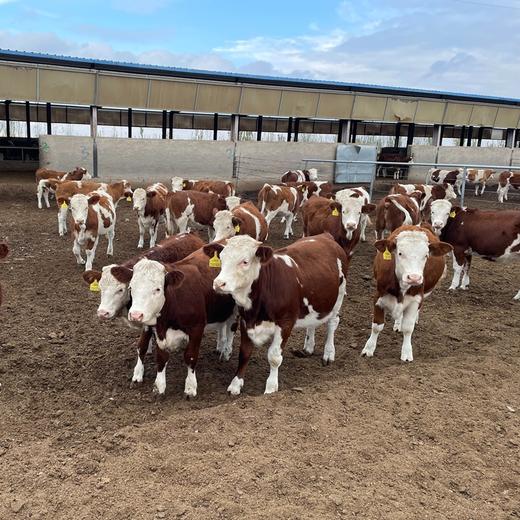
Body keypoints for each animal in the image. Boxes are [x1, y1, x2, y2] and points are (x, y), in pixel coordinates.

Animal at [123, 248, 237, 398]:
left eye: (158, 289)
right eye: (131, 288)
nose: (136, 315)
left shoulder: (197, 327)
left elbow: (191, 356)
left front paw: (190, 387)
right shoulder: (158, 330)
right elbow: (160, 357)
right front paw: (159, 386)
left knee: (232, 328)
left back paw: (226, 352)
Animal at [205, 234, 348, 396]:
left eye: (245, 261)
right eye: (221, 258)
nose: (218, 283)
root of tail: (324, 236)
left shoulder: (285, 322)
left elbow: (274, 356)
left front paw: (271, 387)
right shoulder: (245, 320)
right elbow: (244, 353)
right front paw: (235, 384)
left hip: (338, 297)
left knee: (332, 323)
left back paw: (329, 353)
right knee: (313, 323)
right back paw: (309, 348)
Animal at [362, 225, 450, 364]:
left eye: (426, 255)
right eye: (400, 253)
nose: (414, 278)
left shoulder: (416, 299)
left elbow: (408, 328)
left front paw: (407, 352)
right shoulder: (378, 297)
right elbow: (377, 326)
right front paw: (369, 349)